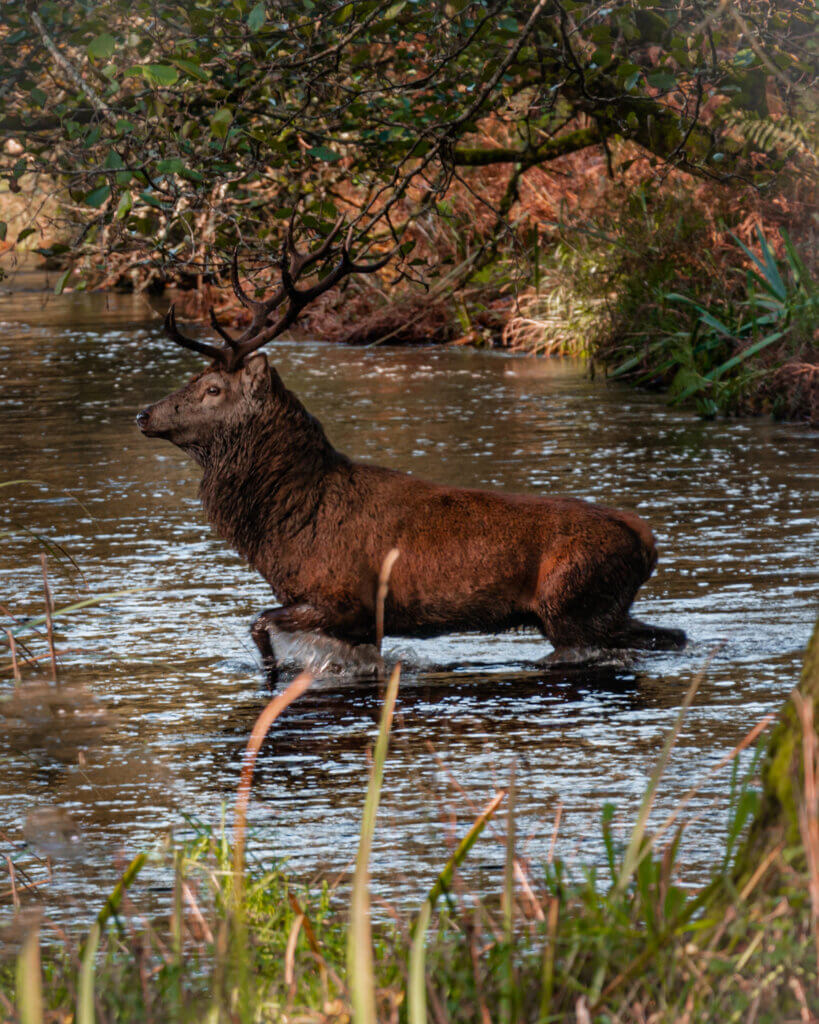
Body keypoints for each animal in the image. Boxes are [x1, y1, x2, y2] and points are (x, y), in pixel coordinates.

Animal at [136, 218, 686, 685]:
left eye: (212, 388)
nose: (144, 414)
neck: (280, 525)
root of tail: (646, 540)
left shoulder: (344, 597)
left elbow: (258, 626)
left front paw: (273, 679)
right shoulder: (357, 622)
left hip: (572, 604)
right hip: (601, 607)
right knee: (674, 635)